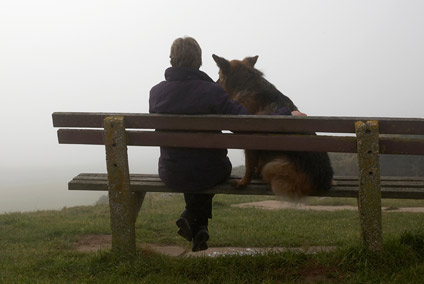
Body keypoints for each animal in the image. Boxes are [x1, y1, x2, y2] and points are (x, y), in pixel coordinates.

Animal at [214, 54, 332, 199]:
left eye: (219, 75)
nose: (214, 83)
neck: (247, 84)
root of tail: (324, 183)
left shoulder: (249, 140)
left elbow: (249, 165)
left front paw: (243, 183)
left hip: (272, 166)